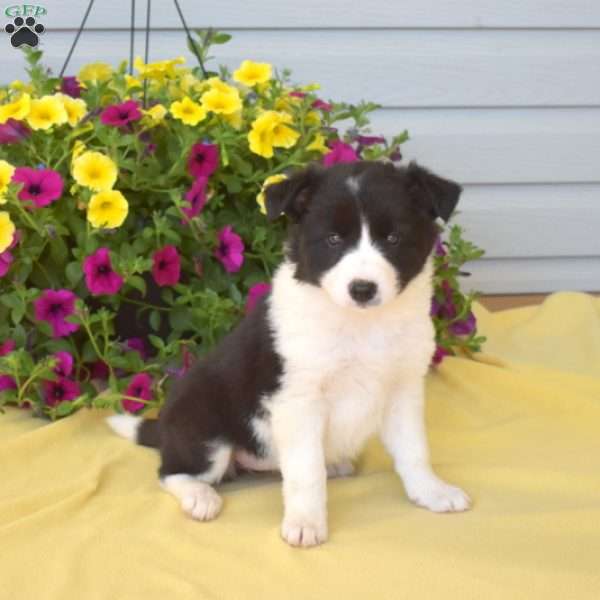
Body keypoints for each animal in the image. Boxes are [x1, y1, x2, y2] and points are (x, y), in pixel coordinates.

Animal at [110, 159, 472, 548]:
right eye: (333, 239)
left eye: (392, 239)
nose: (362, 289)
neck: (360, 324)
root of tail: (164, 426)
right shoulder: (298, 400)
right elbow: (305, 470)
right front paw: (305, 523)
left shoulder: (403, 390)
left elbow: (414, 450)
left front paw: (432, 491)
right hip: (206, 430)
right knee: (171, 471)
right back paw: (200, 496)